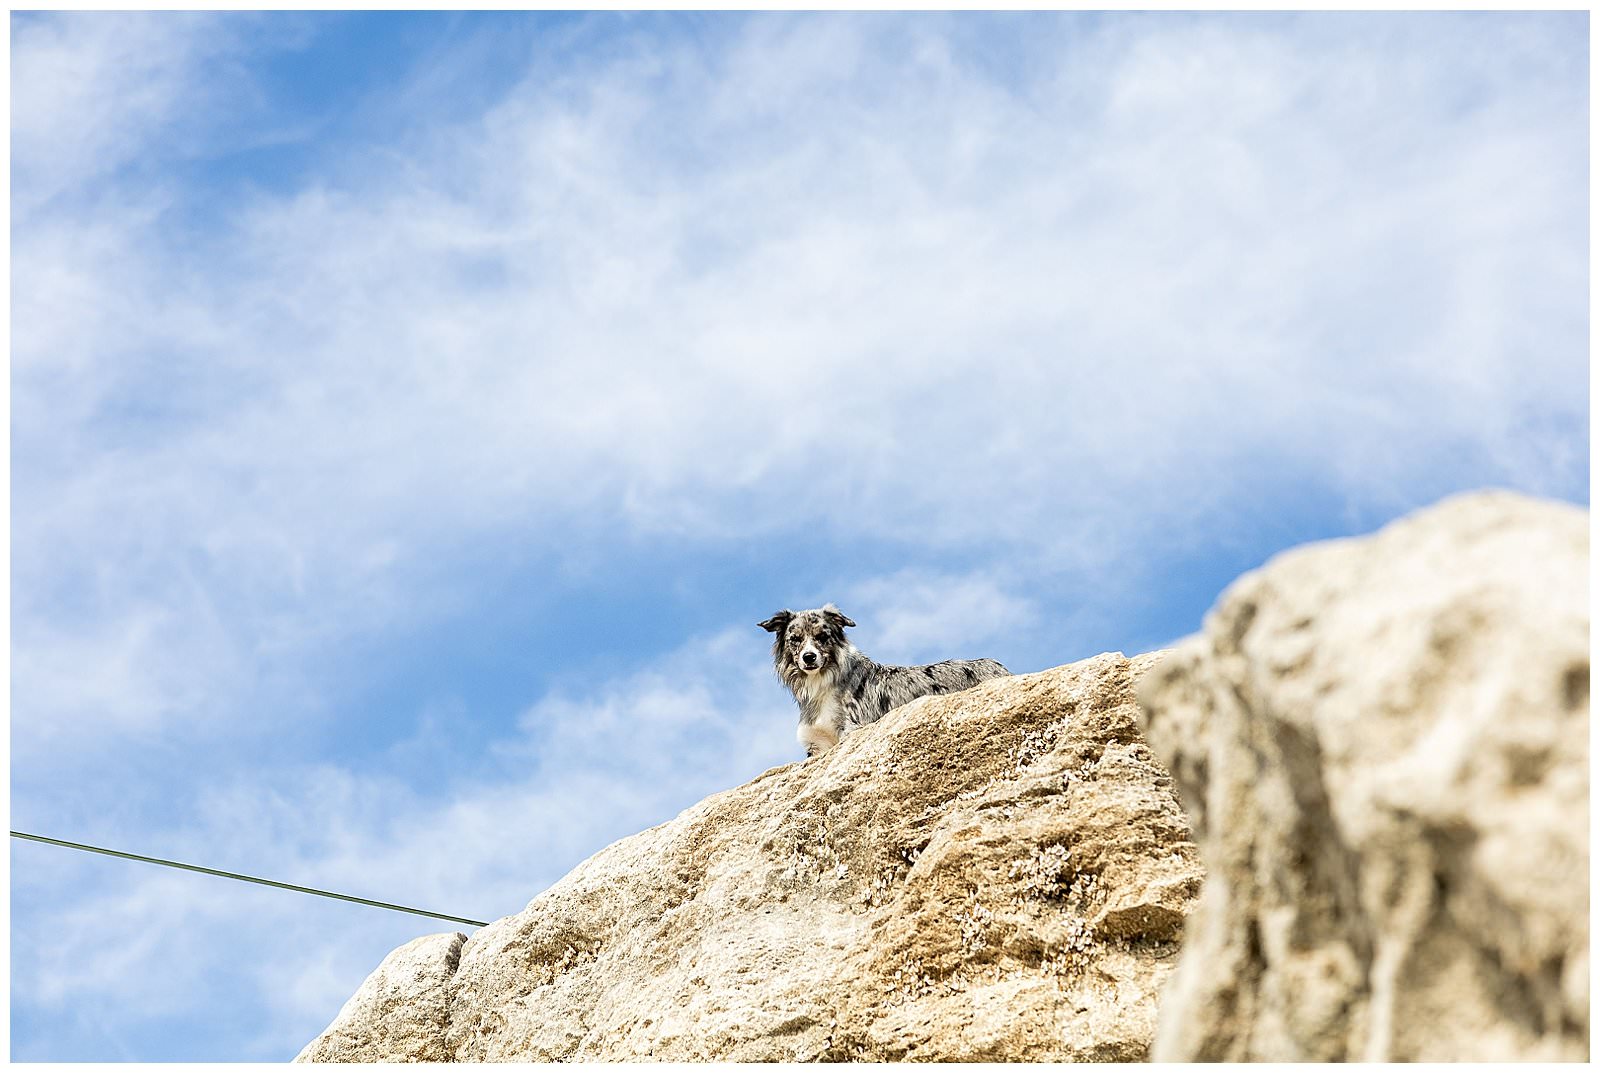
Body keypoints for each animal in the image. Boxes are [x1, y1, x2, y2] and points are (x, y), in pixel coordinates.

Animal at [761, 601, 1011, 761]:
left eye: (822, 637)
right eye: (795, 639)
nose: (809, 657)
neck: (822, 684)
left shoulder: (852, 729)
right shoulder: (817, 745)